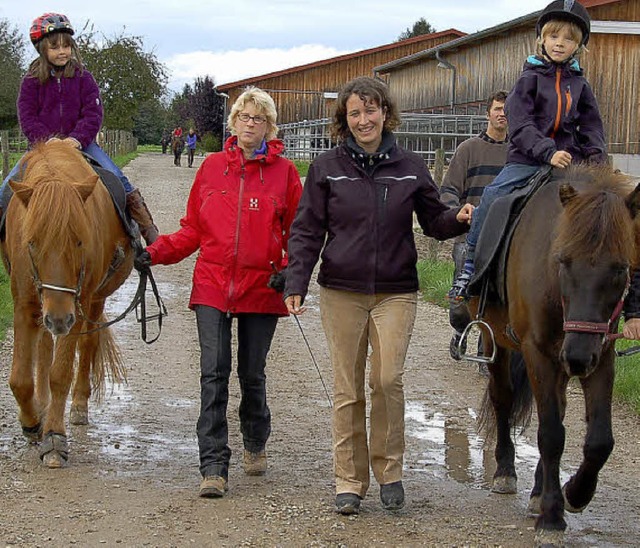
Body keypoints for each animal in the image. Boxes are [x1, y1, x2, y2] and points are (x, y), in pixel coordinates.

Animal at [0, 140, 134, 466]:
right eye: (32, 242)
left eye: (79, 241)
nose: (59, 318)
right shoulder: (25, 304)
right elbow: (20, 378)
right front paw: (32, 422)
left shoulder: (77, 305)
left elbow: (60, 373)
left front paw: (54, 438)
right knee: (45, 347)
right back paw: (43, 404)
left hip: (92, 302)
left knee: (87, 346)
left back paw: (78, 406)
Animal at [470, 165, 640, 544]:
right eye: (562, 260)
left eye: (621, 268)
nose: (576, 357)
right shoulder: (538, 353)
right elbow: (550, 435)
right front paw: (551, 517)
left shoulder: (601, 355)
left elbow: (599, 440)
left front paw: (575, 494)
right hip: (498, 344)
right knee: (503, 400)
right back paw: (506, 471)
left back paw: (538, 490)